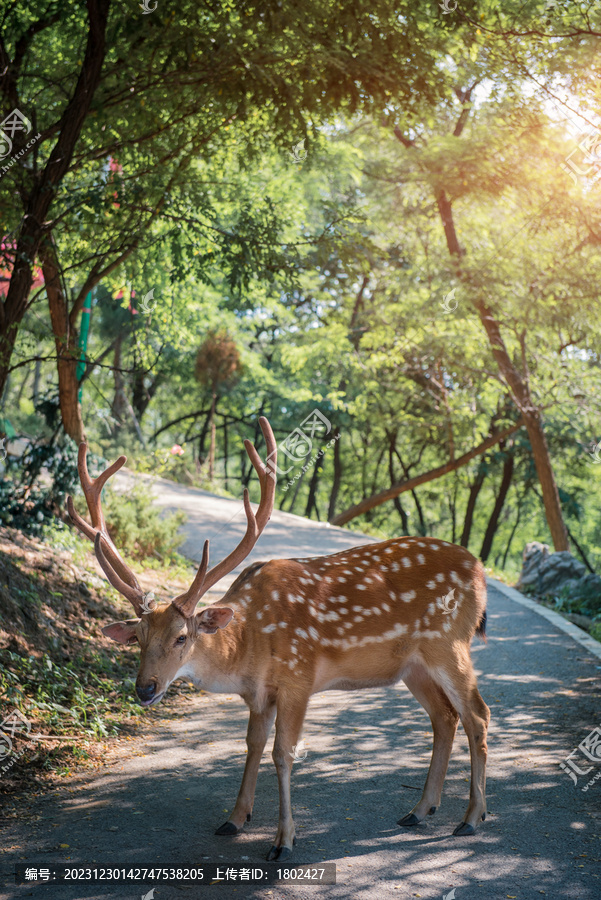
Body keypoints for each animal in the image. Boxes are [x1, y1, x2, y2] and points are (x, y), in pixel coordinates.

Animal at [67, 418, 488, 860]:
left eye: (182, 637)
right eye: (138, 636)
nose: (145, 688)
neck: (249, 646)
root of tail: (481, 572)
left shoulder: (297, 679)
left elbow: (282, 754)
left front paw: (284, 840)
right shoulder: (259, 694)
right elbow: (252, 745)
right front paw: (235, 819)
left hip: (450, 644)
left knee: (477, 714)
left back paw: (471, 819)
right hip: (413, 666)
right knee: (445, 717)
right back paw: (419, 810)